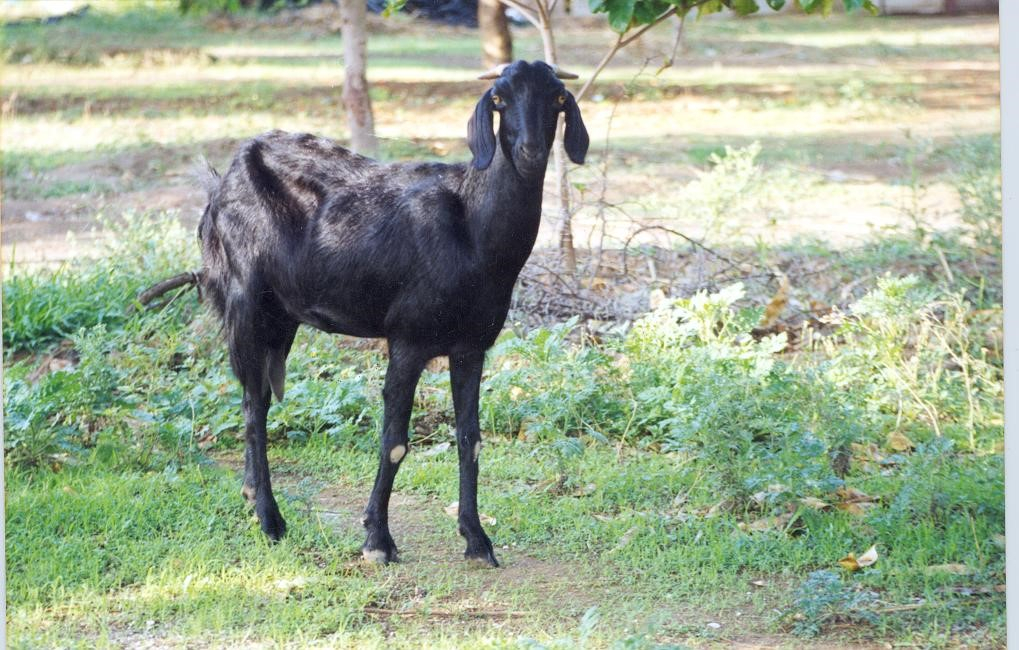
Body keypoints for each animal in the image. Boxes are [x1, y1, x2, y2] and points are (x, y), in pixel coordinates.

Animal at [197, 60, 588, 567]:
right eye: (499, 99)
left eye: (558, 98)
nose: (531, 152)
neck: (472, 229)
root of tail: (220, 182)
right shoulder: (408, 339)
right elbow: (395, 441)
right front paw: (377, 541)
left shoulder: (471, 346)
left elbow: (471, 439)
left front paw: (477, 539)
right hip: (247, 301)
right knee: (252, 404)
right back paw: (270, 519)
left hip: (282, 316)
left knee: (259, 395)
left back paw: (252, 498)